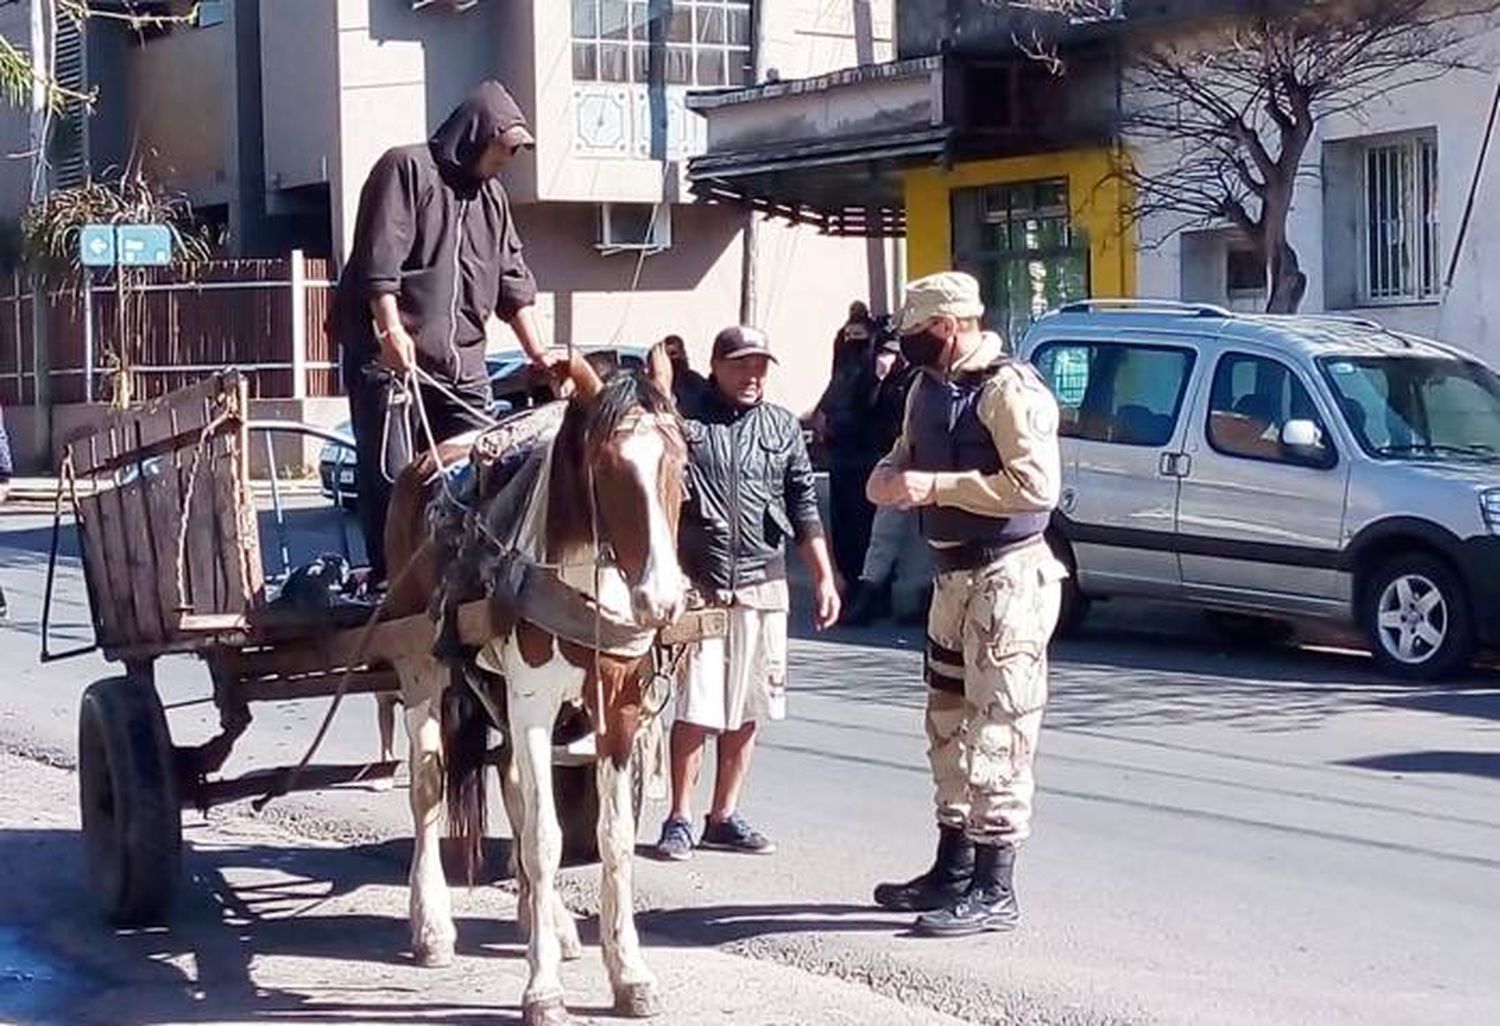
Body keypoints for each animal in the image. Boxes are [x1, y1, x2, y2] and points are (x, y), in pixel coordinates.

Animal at [381, 354, 687, 1026]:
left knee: (513, 783)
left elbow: (613, 838)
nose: (661, 599)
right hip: (421, 672)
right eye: (607, 468)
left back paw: (550, 921)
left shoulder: (618, 705)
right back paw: (432, 925)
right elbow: (546, 840)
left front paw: (629, 973)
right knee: (428, 786)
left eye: (679, 460)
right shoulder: (532, 705)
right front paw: (542, 988)